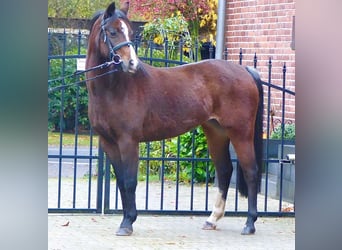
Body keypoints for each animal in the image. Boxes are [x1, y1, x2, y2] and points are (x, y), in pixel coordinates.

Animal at [87, 1, 264, 236]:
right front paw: (126, 220)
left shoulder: (128, 141)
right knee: (225, 171)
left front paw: (127, 223)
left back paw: (249, 223)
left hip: (241, 134)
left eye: (131, 32)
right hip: (216, 133)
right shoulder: (109, 143)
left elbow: (130, 182)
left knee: (251, 171)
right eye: (113, 32)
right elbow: (122, 182)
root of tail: (244, 69)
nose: (132, 63)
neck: (114, 88)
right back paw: (212, 219)